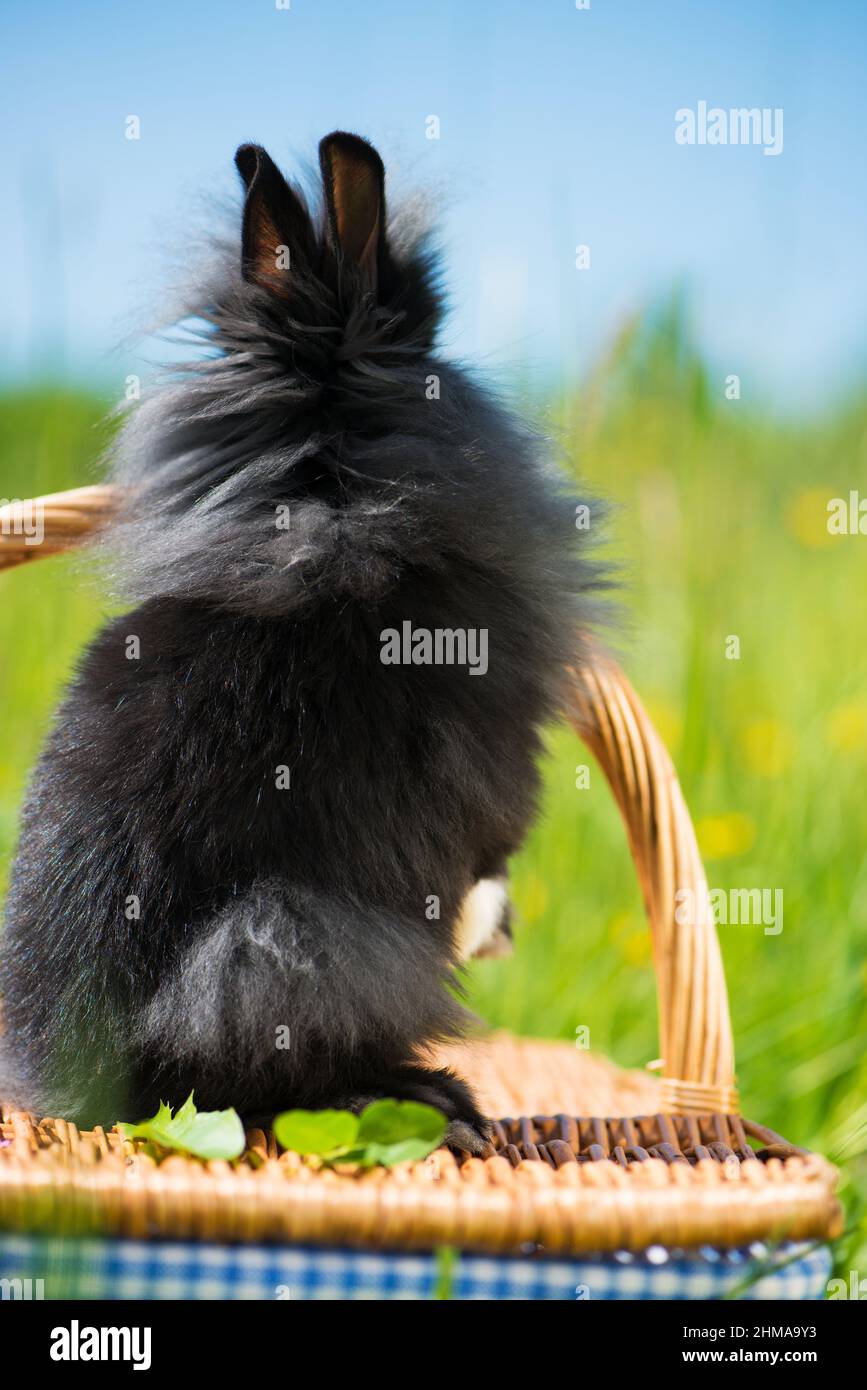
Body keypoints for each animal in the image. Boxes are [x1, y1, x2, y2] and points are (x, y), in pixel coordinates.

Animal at [0, 132, 604, 1150]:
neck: (331, 496)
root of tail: (78, 1097)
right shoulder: (492, 784)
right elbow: (488, 861)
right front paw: (497, 927)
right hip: (291, 945)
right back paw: (433, 1096)